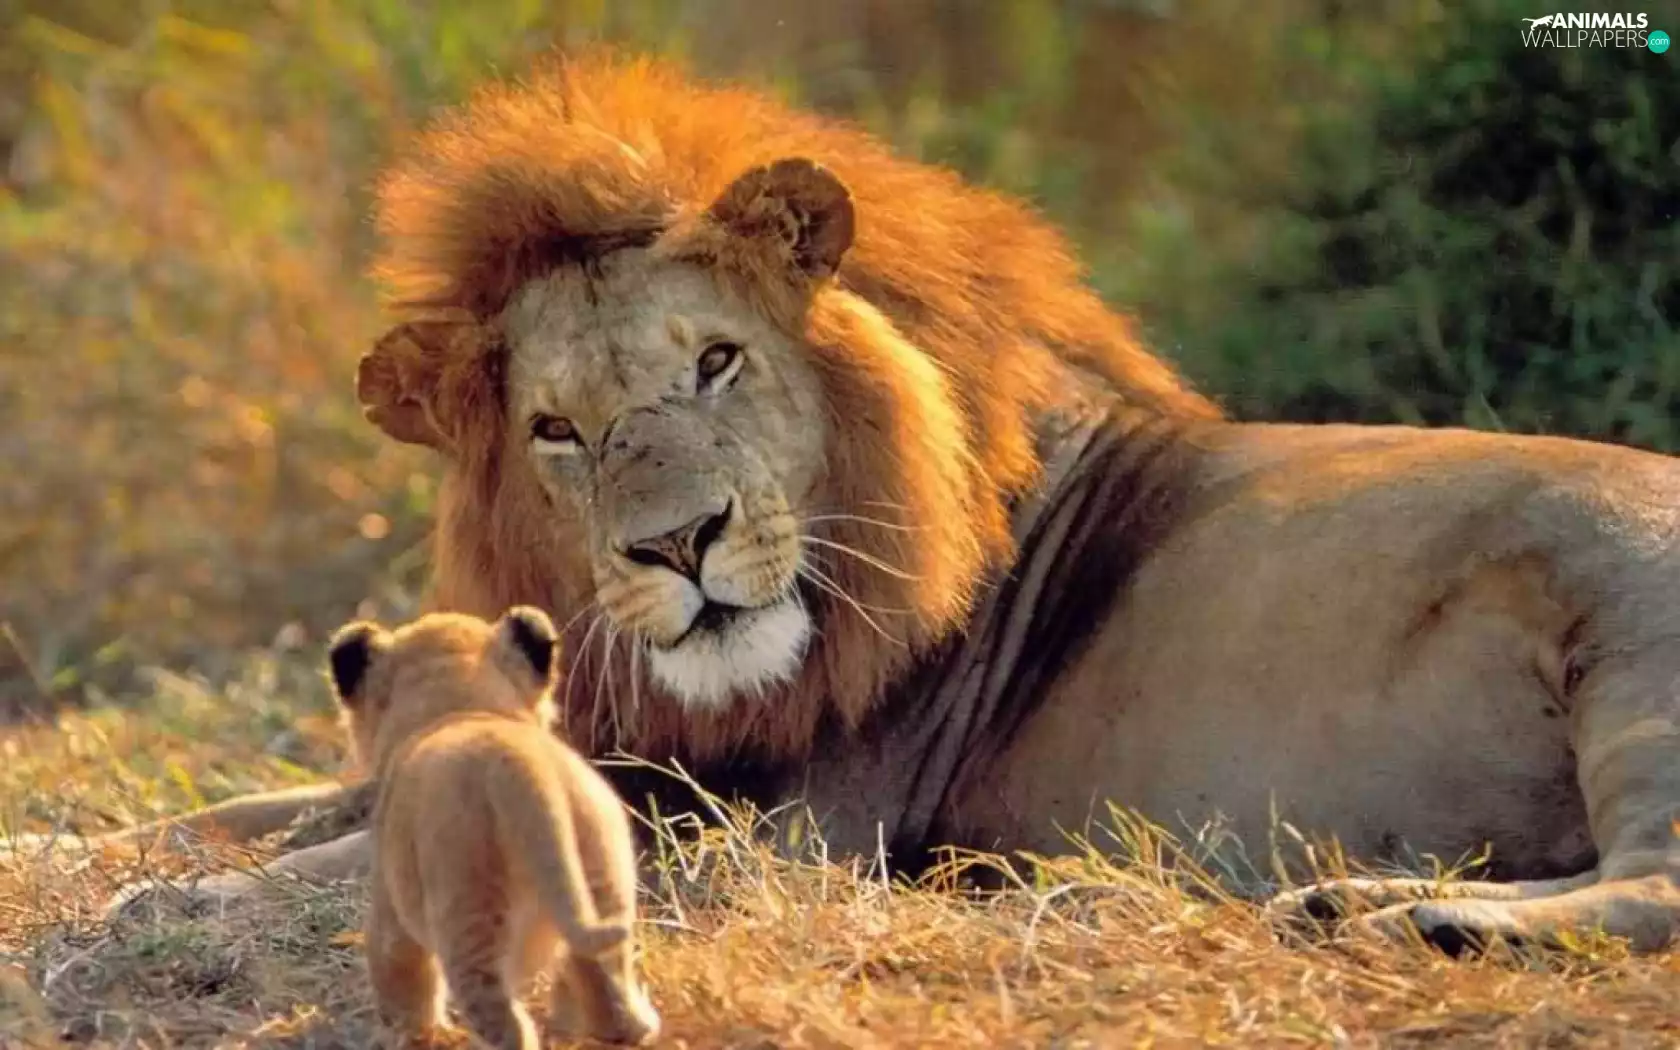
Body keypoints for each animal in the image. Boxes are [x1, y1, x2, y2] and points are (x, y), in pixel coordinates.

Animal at [92, 50, 1680, 957]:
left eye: (717, 361)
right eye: (557, 431)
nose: (677, 543)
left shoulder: (774, 832)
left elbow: (361, 840)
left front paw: (171, 908)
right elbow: (253, 804)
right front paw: (96, 856)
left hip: (1632, 649)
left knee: (1656, 887)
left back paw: (1420, 917)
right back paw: (1342, 902)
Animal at [327, 606, 660, 1049]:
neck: (459, 710)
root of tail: (519, 768)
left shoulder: (389, 898)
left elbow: (396, 966)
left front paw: (410, 1034)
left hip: (467, 910)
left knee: (501, 1016)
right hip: (602, 877)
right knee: (605, 981)